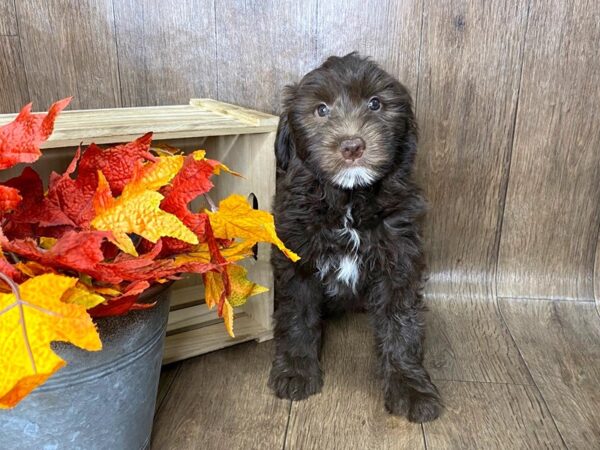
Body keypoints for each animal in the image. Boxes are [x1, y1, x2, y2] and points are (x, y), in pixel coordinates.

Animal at [270, 52, 442, 422]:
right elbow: (296, 316)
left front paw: (410, 386)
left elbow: (400, 323)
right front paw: (295, 371)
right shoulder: (298, 258)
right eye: (321, 109)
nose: (352, 146)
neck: (349, 201)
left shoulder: (399, 259)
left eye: (375, 104)